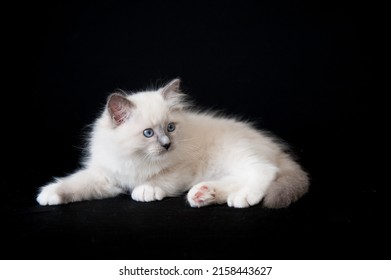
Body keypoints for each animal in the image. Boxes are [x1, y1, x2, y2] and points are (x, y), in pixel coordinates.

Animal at [38, 79, 310, 208]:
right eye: (148, 133)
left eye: (170, 128)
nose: (167, 144)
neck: (135, 159)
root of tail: (275, 148)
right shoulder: (106, 177)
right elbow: (74, 184)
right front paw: (48, 195)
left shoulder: (181, 170)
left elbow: (158, 180)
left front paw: (144, 191)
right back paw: (204, 194)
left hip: (234, 153)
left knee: (265, 171)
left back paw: (242, 197)